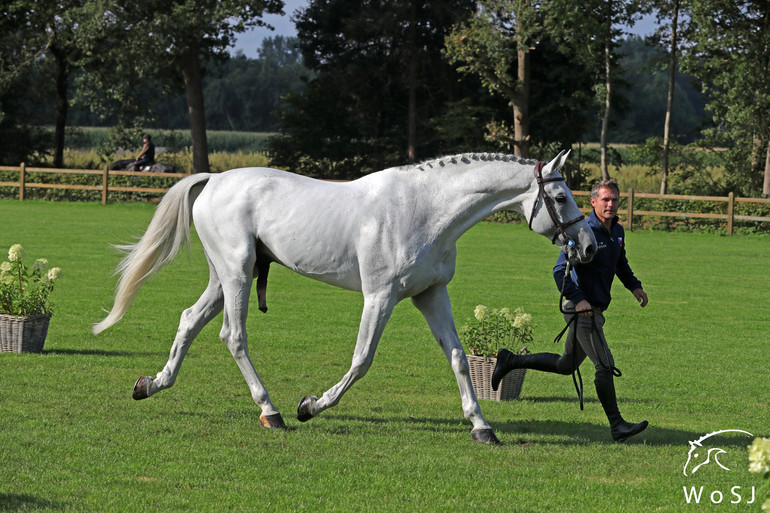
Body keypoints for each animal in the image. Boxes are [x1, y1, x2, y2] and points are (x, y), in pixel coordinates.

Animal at [91, 150, 592, 442]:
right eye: (561, 198)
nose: (587, 247)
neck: (426, 209)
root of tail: (213, 180)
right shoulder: (380, 297)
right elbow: (362, 359)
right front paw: (311, 406)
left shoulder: (431, 295)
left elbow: (457, 356)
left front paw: (482, 426)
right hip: (235, 275)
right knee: (233, 336)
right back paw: (272, 412)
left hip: (226, 277)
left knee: (189, 320)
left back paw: (152, 384)